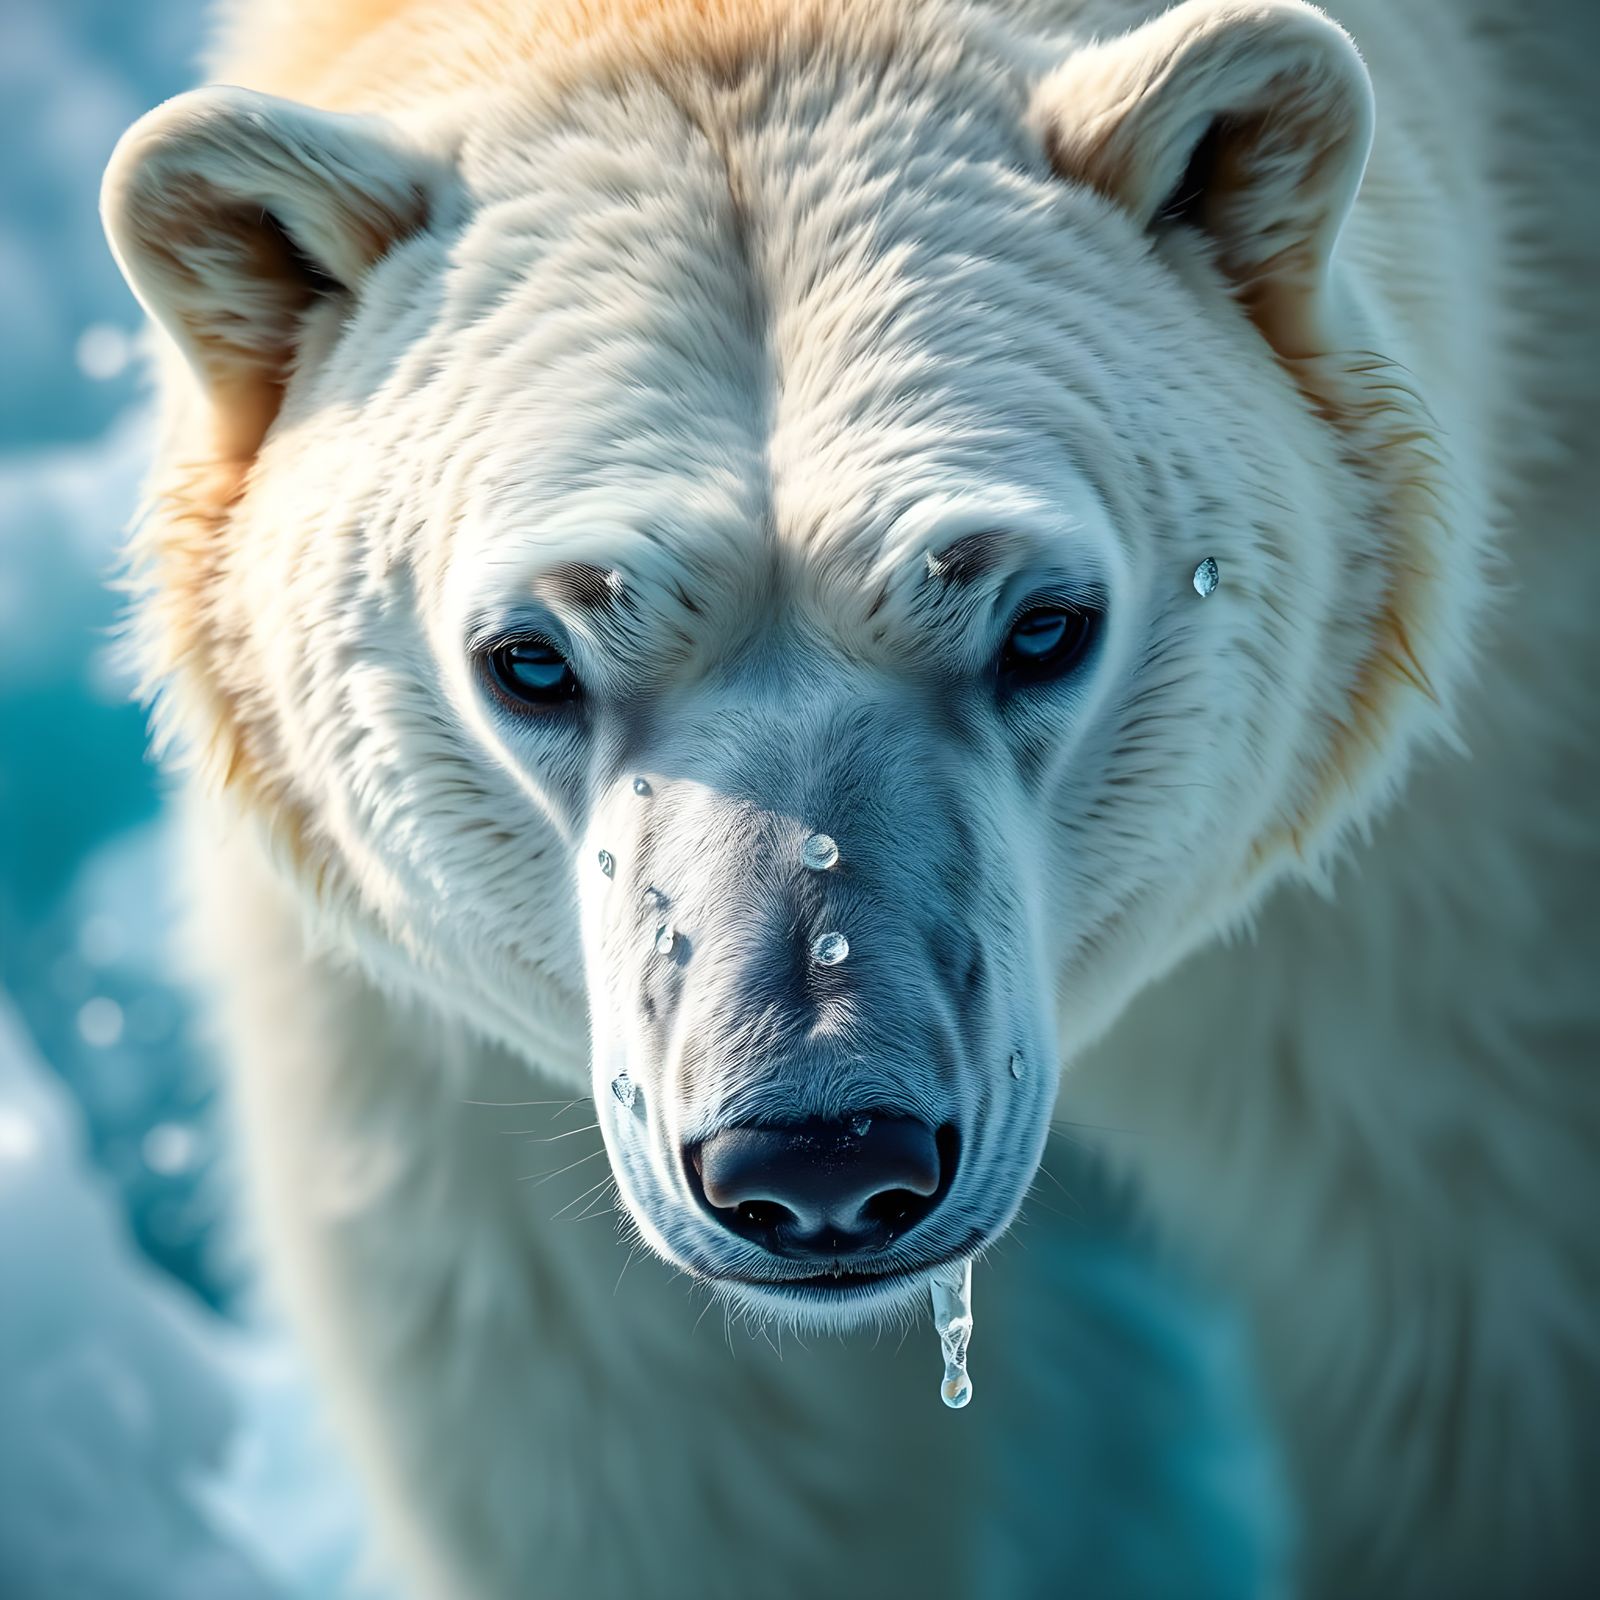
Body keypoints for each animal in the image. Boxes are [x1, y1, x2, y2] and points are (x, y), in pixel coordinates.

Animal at [101, 0, 1599, 1594]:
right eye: (530, 659)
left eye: (1045, 624)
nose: (822, 1156)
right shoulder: (431, 1041)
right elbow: (650, 1435)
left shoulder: (1459, 881)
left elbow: (1468, 1318)